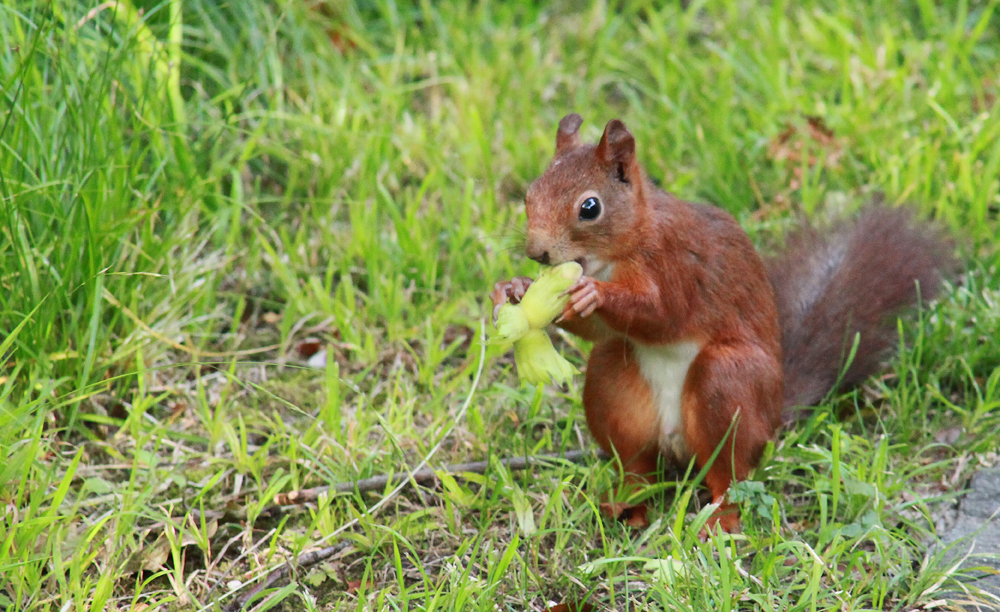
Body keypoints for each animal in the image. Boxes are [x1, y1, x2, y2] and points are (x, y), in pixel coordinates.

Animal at [490, 113, 952, 532]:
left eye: (589, 207)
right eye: (529, 195)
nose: (536, 252)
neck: (622, 248)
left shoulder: (679, 264)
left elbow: (663, 313)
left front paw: (593, 294)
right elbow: (600, 330)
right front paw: (515, 289)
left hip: (730, 381)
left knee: (729, 473)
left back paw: (720, 519)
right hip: (613, 384)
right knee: (638, 463)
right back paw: (627, 502)